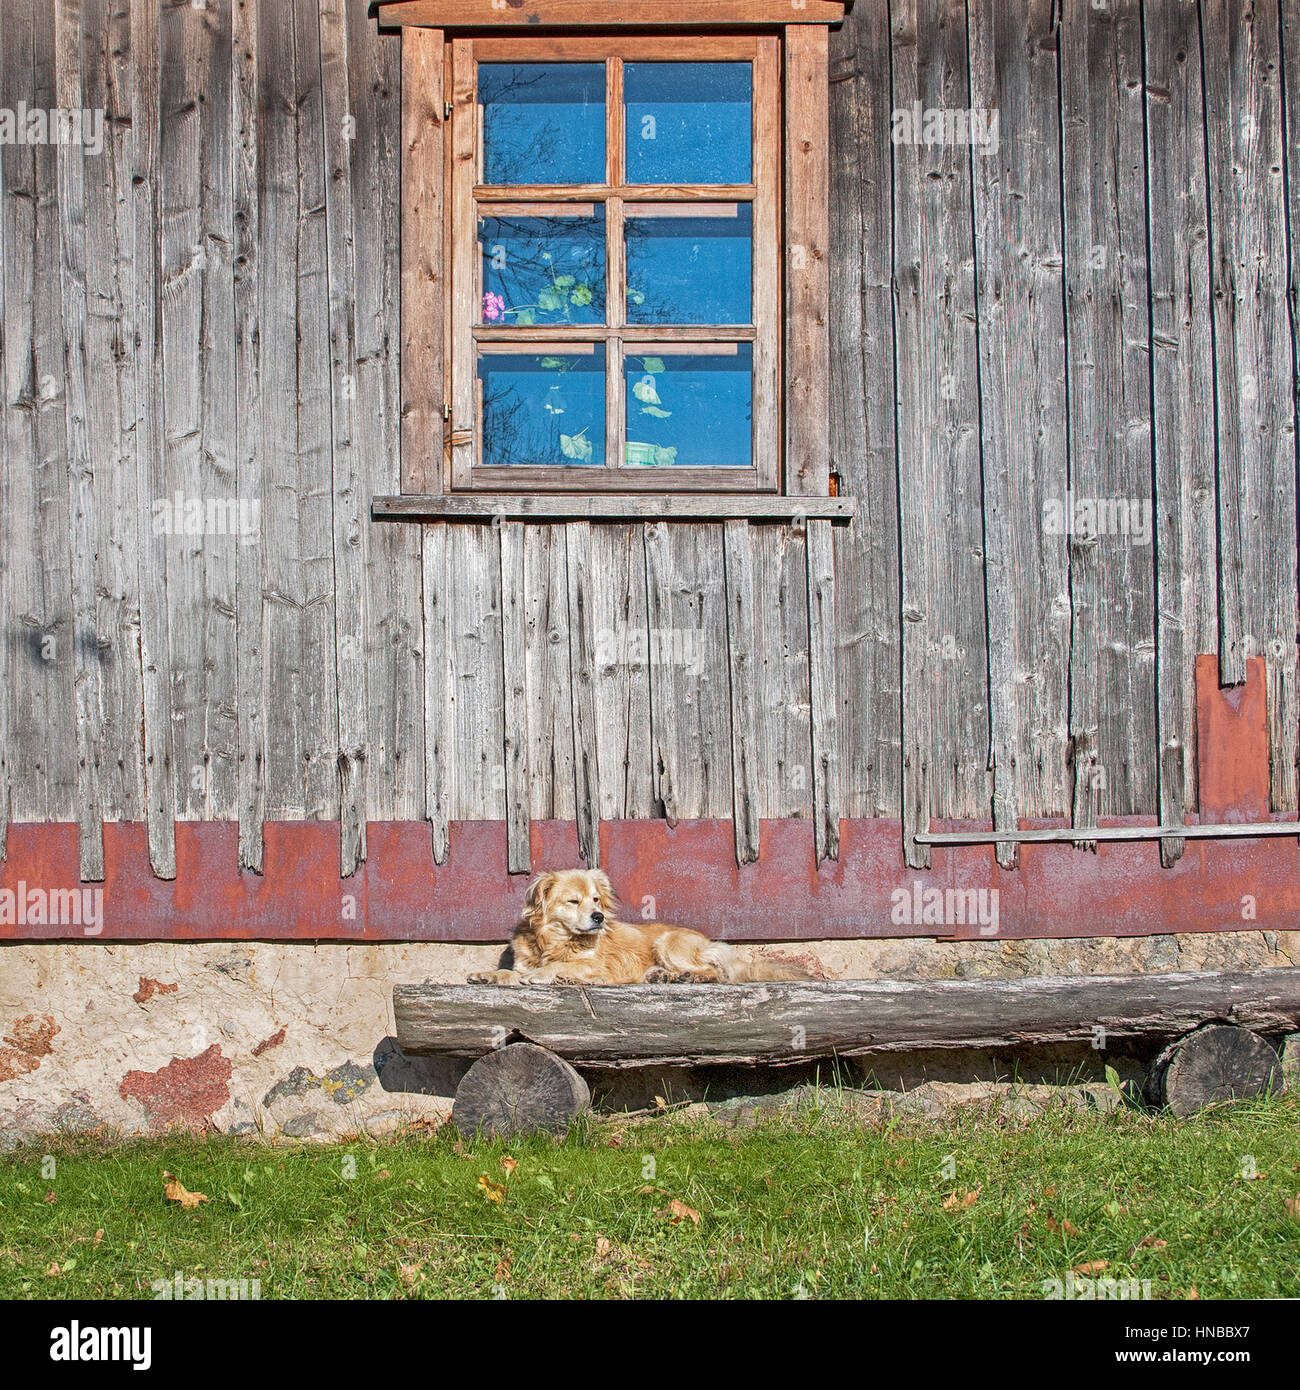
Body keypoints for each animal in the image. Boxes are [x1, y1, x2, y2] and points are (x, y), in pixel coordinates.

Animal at [467, 867, 811, 989]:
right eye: (573, 901)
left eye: (596, 899)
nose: (598, 917)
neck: (555, 941)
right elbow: (510, 972)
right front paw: (488, 975)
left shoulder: (596, 965)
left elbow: (558, 968)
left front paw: (549, 974)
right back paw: (660, 976)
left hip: (668, 942)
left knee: (715, 973)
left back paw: (684, 976)